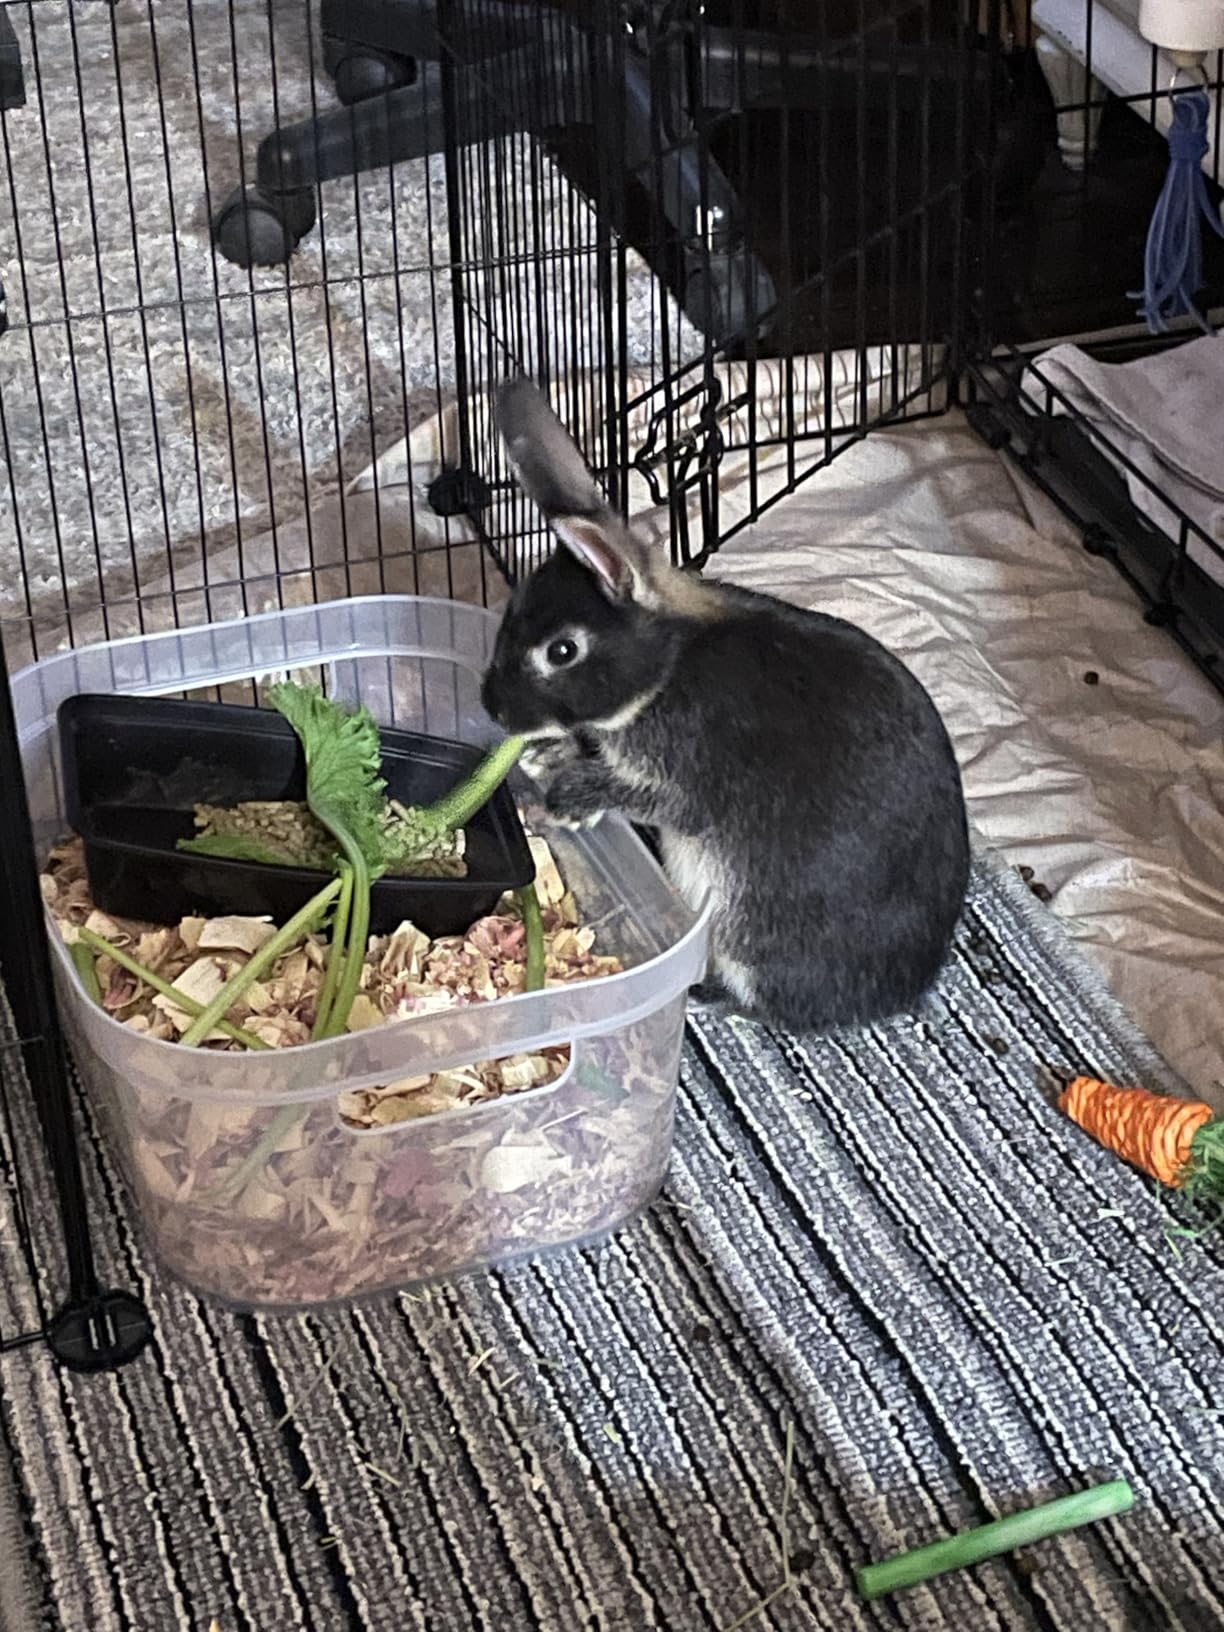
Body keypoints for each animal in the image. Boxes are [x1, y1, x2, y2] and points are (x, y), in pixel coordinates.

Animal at [481, 378, 971, 1034]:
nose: (493, 709)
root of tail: (900, 994)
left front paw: (566, 799)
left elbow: (651, 798)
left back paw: (709, 1001)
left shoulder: (686, 779)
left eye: (562, 651)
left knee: (768, 1004)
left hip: (749, 936)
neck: (664, 671)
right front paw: (545, 759)